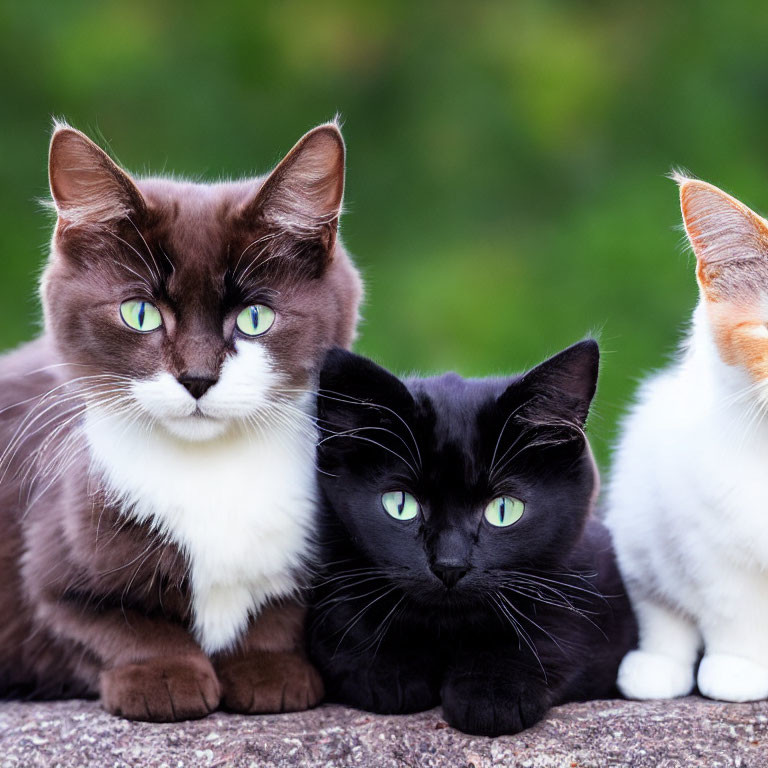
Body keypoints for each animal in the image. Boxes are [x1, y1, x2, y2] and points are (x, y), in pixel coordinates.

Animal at [0, 121, 364, 720]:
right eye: (140, 313)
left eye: (255, 318)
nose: (196, 377)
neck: (209, 469)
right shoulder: (56, 543)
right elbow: (99, 617)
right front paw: (164, 677)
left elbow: (283, 609)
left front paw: (270, 669)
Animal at [306, 344, 636, 736]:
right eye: (400, 505)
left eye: (503, 509)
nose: (450, 565)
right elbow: (345, 618)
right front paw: (388, 672)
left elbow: (555, 634)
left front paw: (494, 692)